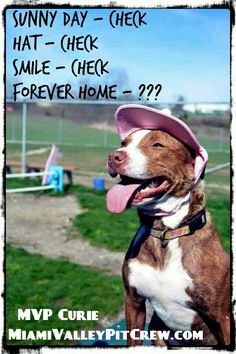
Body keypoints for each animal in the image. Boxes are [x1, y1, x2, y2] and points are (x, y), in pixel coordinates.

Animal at [106, 103, 230, 348]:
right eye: (124, 144)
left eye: (157, 145)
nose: (114, 156)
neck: (166, 231)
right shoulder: (133, 302)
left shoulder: (223, 317)